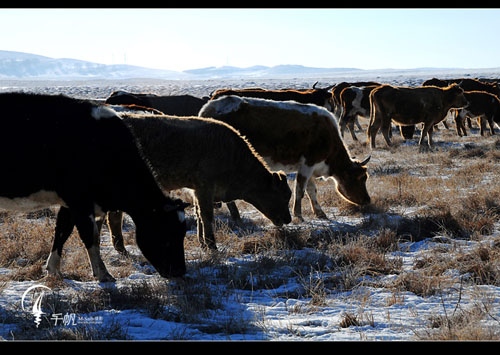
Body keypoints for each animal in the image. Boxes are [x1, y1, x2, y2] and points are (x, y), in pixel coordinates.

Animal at [0, 93, 189, 282]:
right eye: (166, 233)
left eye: (183, 233)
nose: (180, 272)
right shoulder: (79, 201)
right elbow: (89, 236)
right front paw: (103, 273)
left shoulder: (70, 203)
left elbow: (62, 231)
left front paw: (53, 270)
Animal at [105, 115, 292, 252]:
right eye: (283, 195)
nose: (288, 219)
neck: (233, 156)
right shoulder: (205, 187)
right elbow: (206, 215)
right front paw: (212, 245)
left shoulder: (196, 190)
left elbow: (198, 215)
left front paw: (202, 243)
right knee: (114, 216)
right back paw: (121, 248)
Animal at [199, 94, 372, 222]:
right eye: (360, 178)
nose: (367, 200)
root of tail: (208, 109)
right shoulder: (307, 164)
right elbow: (300, 190)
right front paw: (299, 215)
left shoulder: (309, 167)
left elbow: (311, 190)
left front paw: (319, 212)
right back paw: (236, 215)